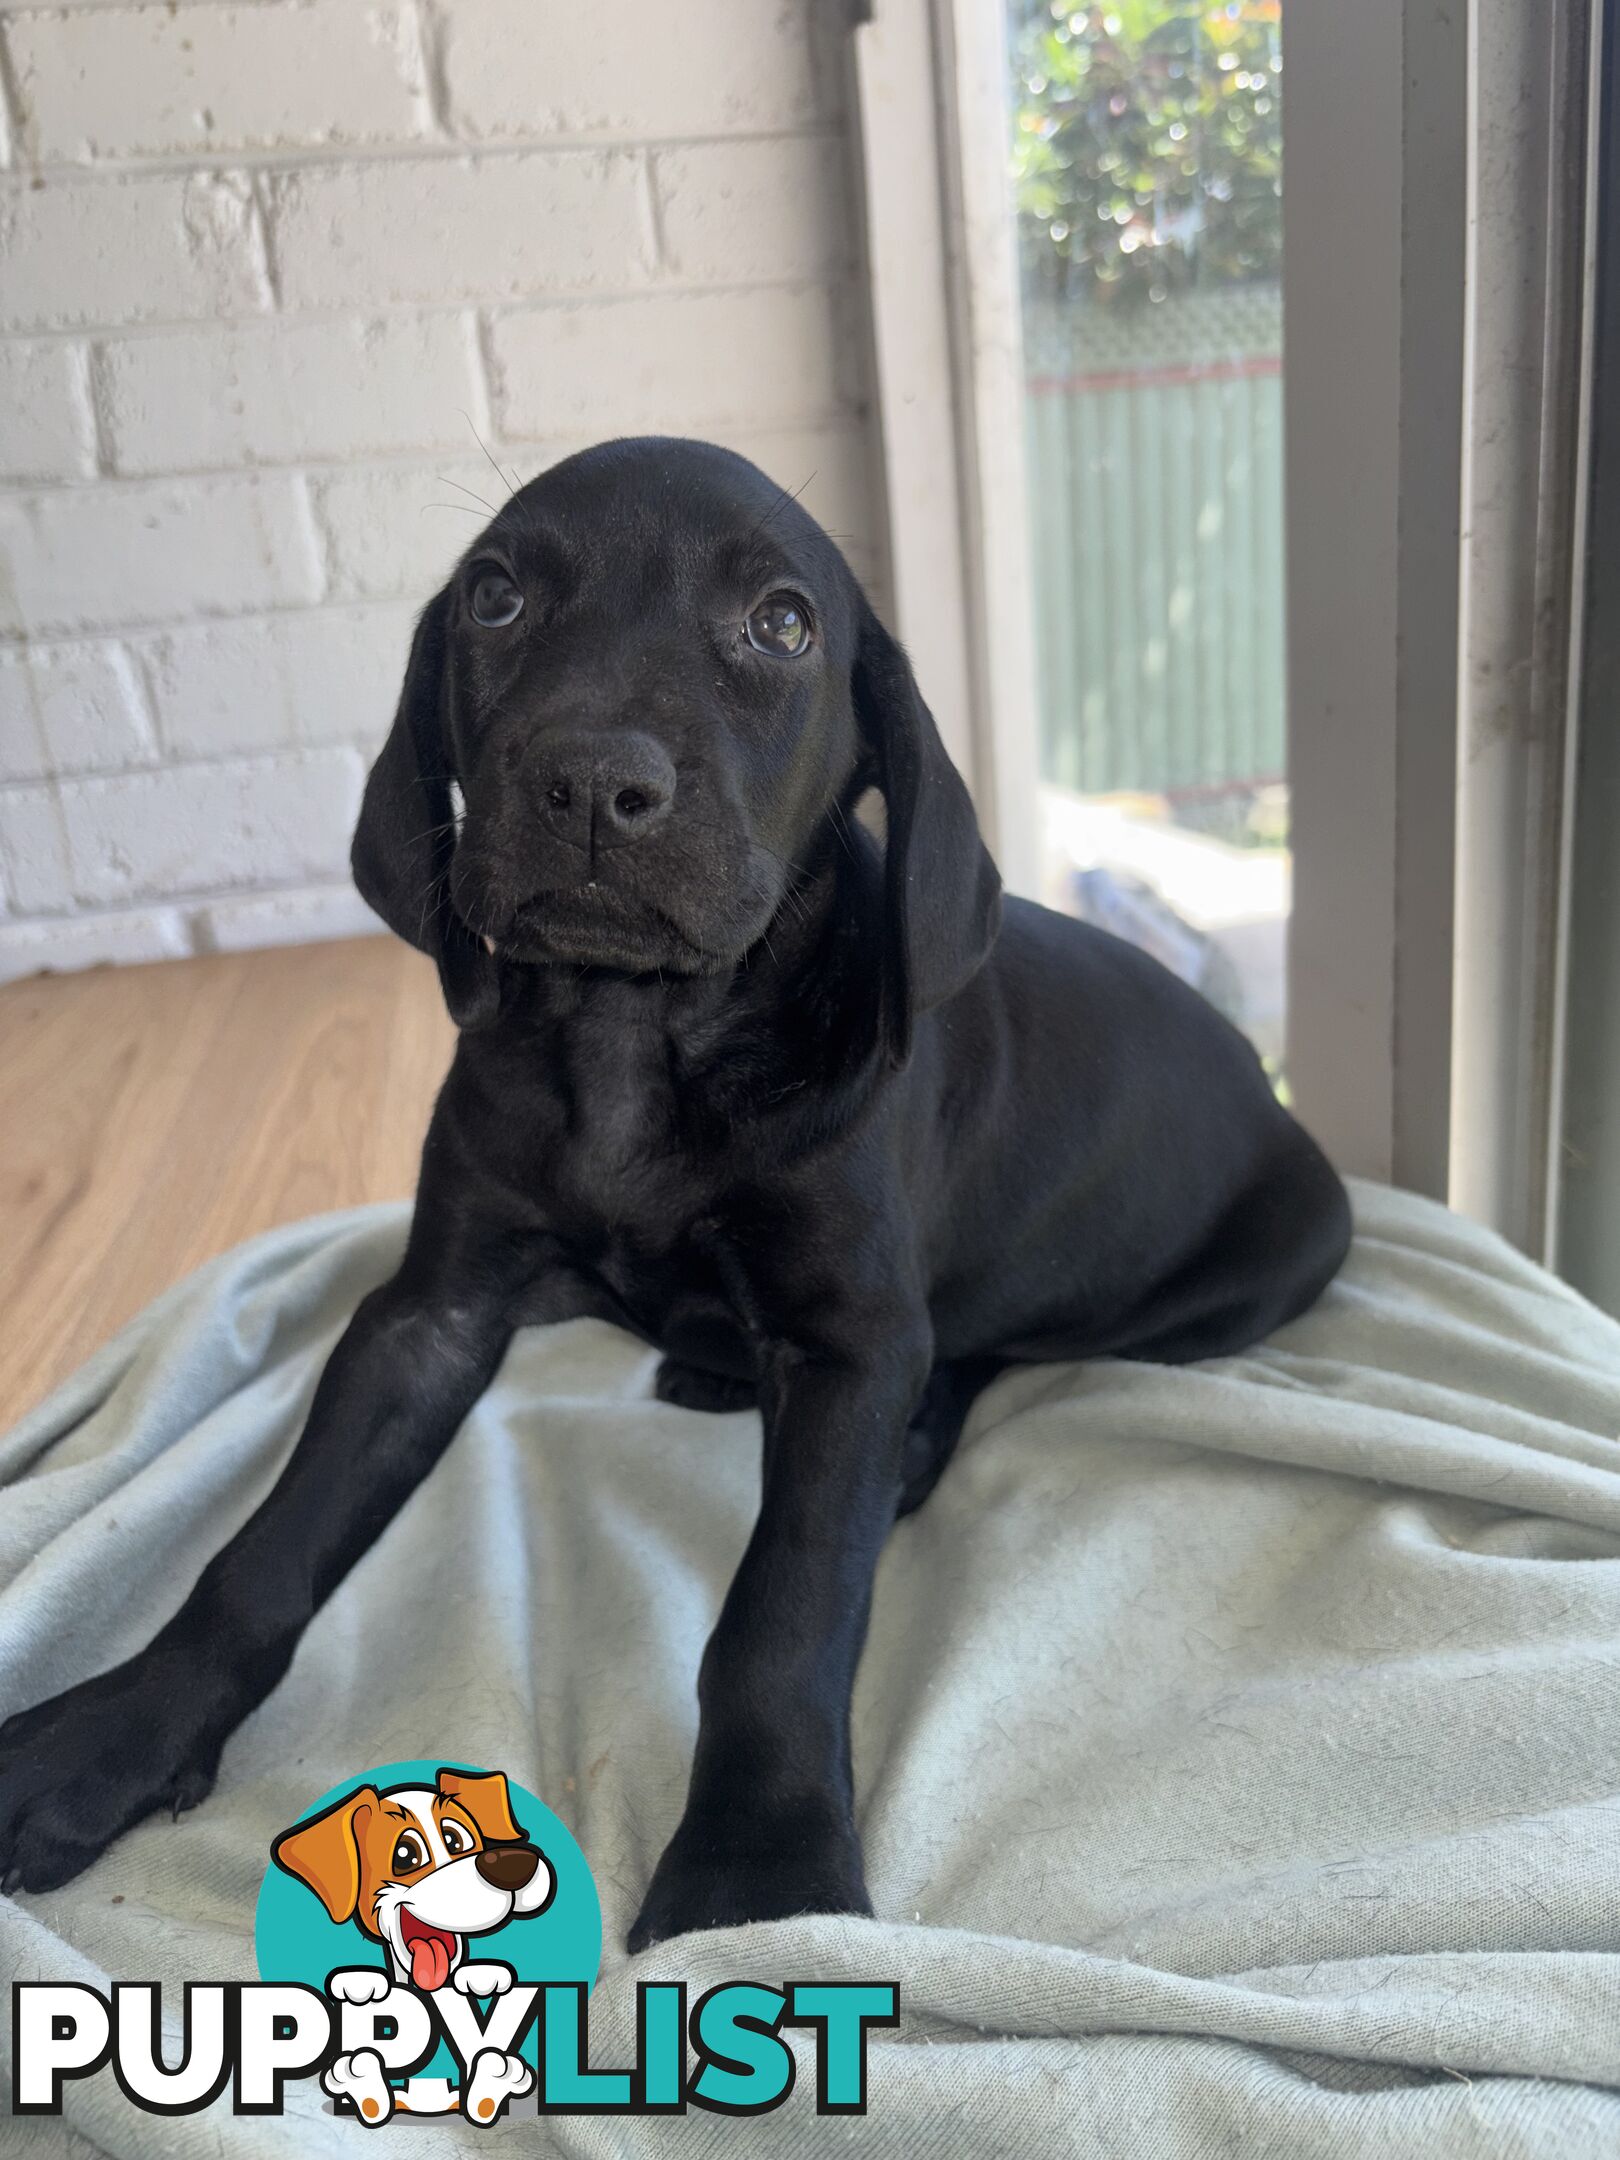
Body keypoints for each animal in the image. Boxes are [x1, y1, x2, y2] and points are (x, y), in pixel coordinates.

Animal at [0, 434, 1347, 1944]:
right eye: (496, 599)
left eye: (783, 625)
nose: (592, 784)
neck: (634, 1039)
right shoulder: (431, 1312)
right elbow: (268, 1545)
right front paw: (113, 1733)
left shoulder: (850, 1340)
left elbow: (785, 1609)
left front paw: (760, 1864)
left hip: (1229, 1287)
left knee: (985, 1349)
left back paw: (910, 1441)